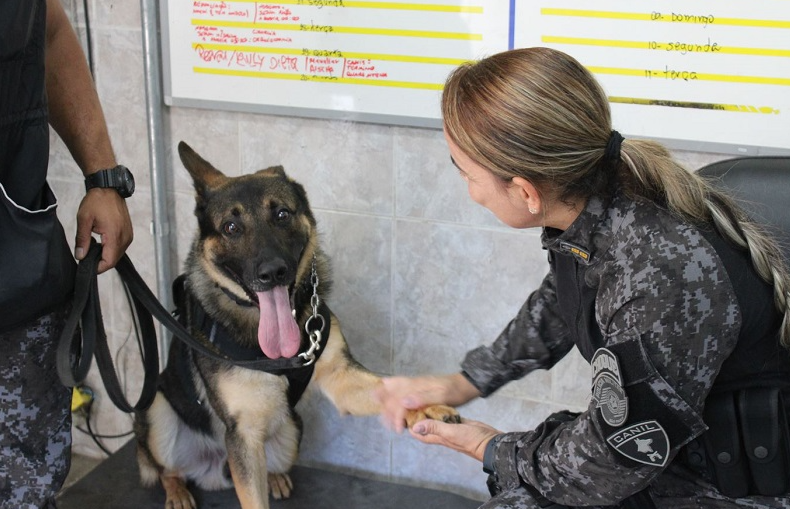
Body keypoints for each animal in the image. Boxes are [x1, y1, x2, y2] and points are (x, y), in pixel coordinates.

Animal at [134, 142, 460, 508]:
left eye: (282, 215)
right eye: (231, 227)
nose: (273, 272)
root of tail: (215, 468)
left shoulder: (341, 378)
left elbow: (389, 389)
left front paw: (425, 408)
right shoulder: (243, 435)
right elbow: (253, 499)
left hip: (291, 431)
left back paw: (275, 478)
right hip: (157, 412)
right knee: (162, 467)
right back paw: (177, 492)